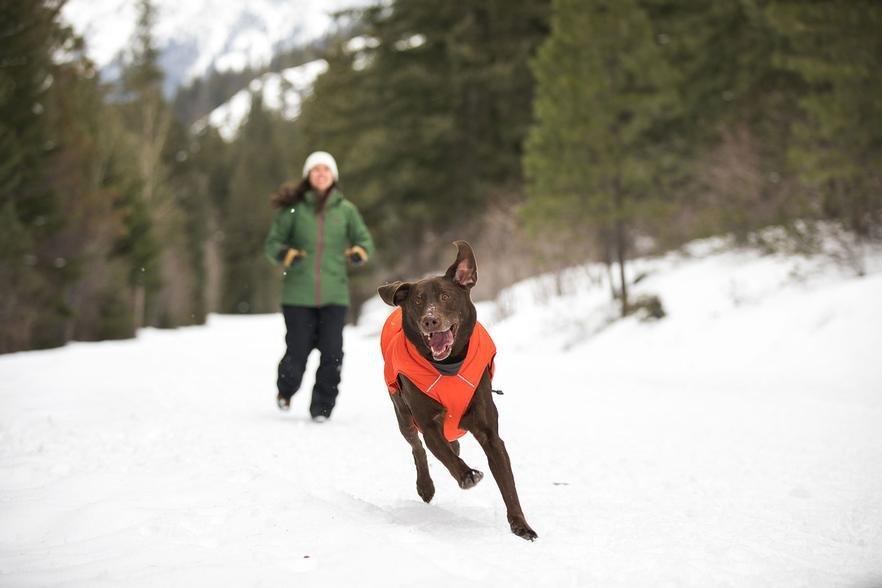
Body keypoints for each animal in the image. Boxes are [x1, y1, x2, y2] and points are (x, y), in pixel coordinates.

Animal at [374, 241, 532, 540]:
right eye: (418, 301)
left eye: (446, 296)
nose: (430, 320)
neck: (449, 366)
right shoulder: (429, 424)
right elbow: (444, 455)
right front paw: (467, 475)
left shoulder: (490, 433)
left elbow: (508, 486)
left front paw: (522, 526)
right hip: (403, 416)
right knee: (418, 448)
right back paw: (425, 486)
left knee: (452, 444)